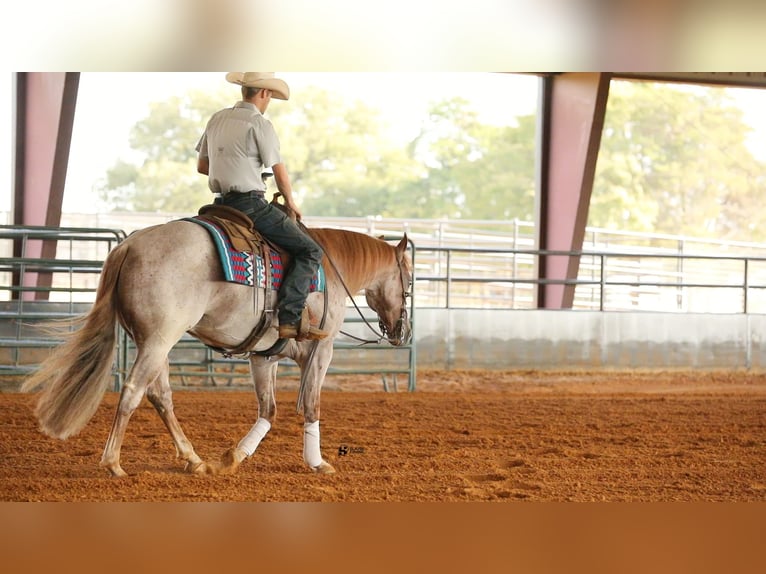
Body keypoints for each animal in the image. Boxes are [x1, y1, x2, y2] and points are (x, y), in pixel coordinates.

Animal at [19, 218, 414, 480]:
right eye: (409, 281)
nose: (402, 331)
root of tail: (130, 245)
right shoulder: (322, 350)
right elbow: (312, 405)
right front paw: (317, 462)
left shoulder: (265, 355)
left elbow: (269, 409)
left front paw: (235, 456)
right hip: (159, 340)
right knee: (132, 392)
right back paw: (114, 463)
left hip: (154, 343)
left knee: (160, 396)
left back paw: (193, 459)